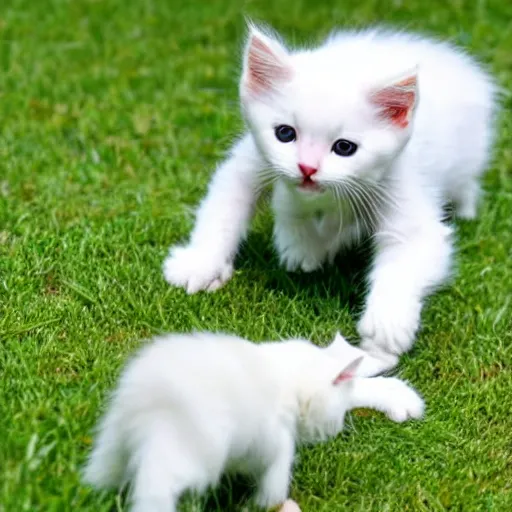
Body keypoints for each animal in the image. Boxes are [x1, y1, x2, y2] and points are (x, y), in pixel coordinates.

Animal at [84, 330, 422, 510]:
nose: (335, 430)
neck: (286, 374)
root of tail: (148, 407)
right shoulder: (280, 444)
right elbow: (271, 493)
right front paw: (263, 506)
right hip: (185, 456)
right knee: (155, 491)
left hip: (112, 439)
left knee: (103, 470)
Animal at [163, 24, 496, 368]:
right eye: (285, 133)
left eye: (344, 147)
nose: (307, 168)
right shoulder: (251, 160)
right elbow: (225, 206)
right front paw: (200, 264)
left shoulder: (401, 187)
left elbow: (410, 254)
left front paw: (386, 326)